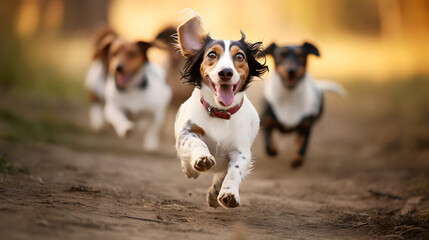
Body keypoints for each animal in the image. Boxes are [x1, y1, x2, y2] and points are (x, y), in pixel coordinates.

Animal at [172, 11, 266, 208]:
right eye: (212, 54)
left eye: (239, 57)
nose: (225, 72)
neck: (220, 113)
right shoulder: (188, 131)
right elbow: (196, 143)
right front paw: (202, 160)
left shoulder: (240, 151)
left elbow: (234, 172)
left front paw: (229, 194)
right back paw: (190, 169)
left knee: (221, 175)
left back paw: (214, 195)